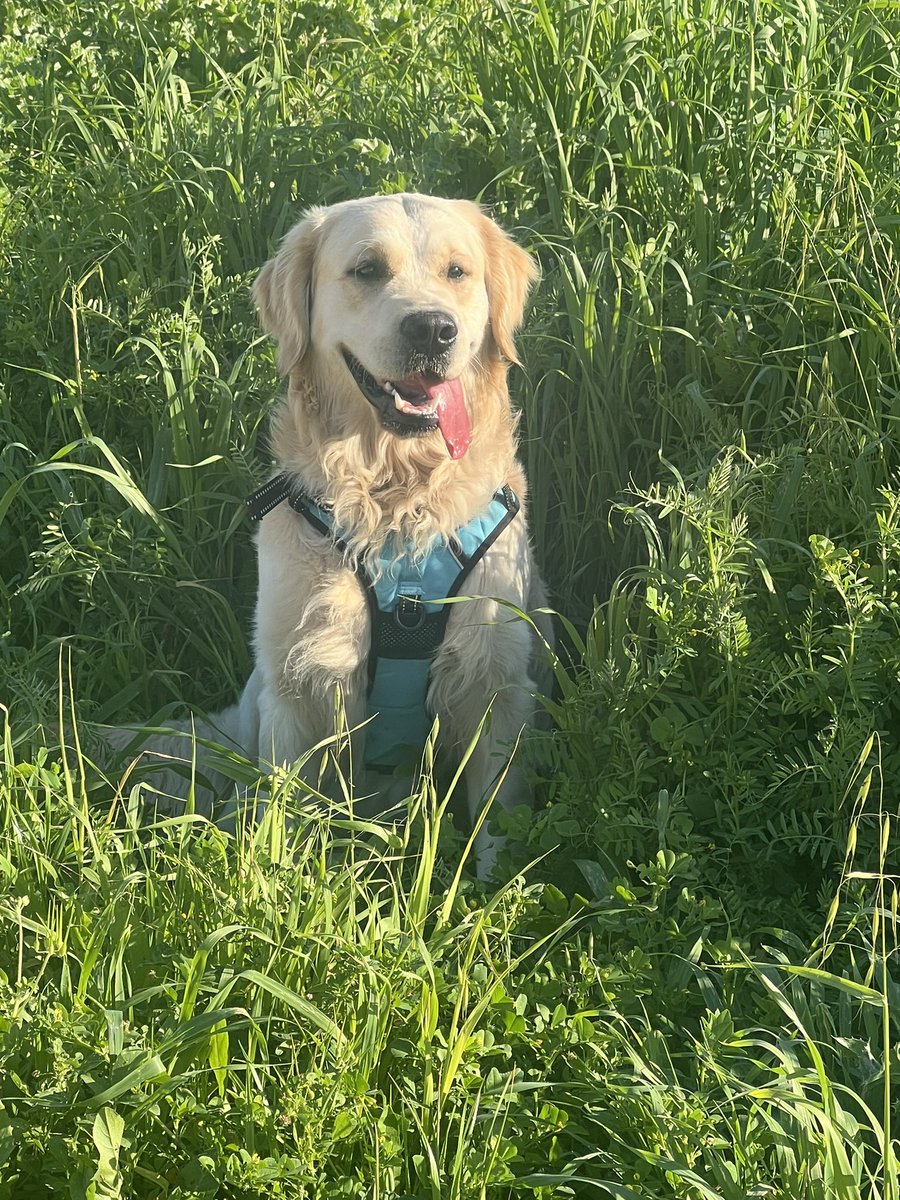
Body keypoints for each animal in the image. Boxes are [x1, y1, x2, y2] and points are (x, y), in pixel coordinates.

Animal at [113, 194, 549, 873]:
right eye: (367, 270)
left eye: (457, 272)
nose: (433, 329)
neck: (397, 499)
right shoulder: (299, 682)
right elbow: (283, 815)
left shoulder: (495, 682)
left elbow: (499, 827)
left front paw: (494, 893)